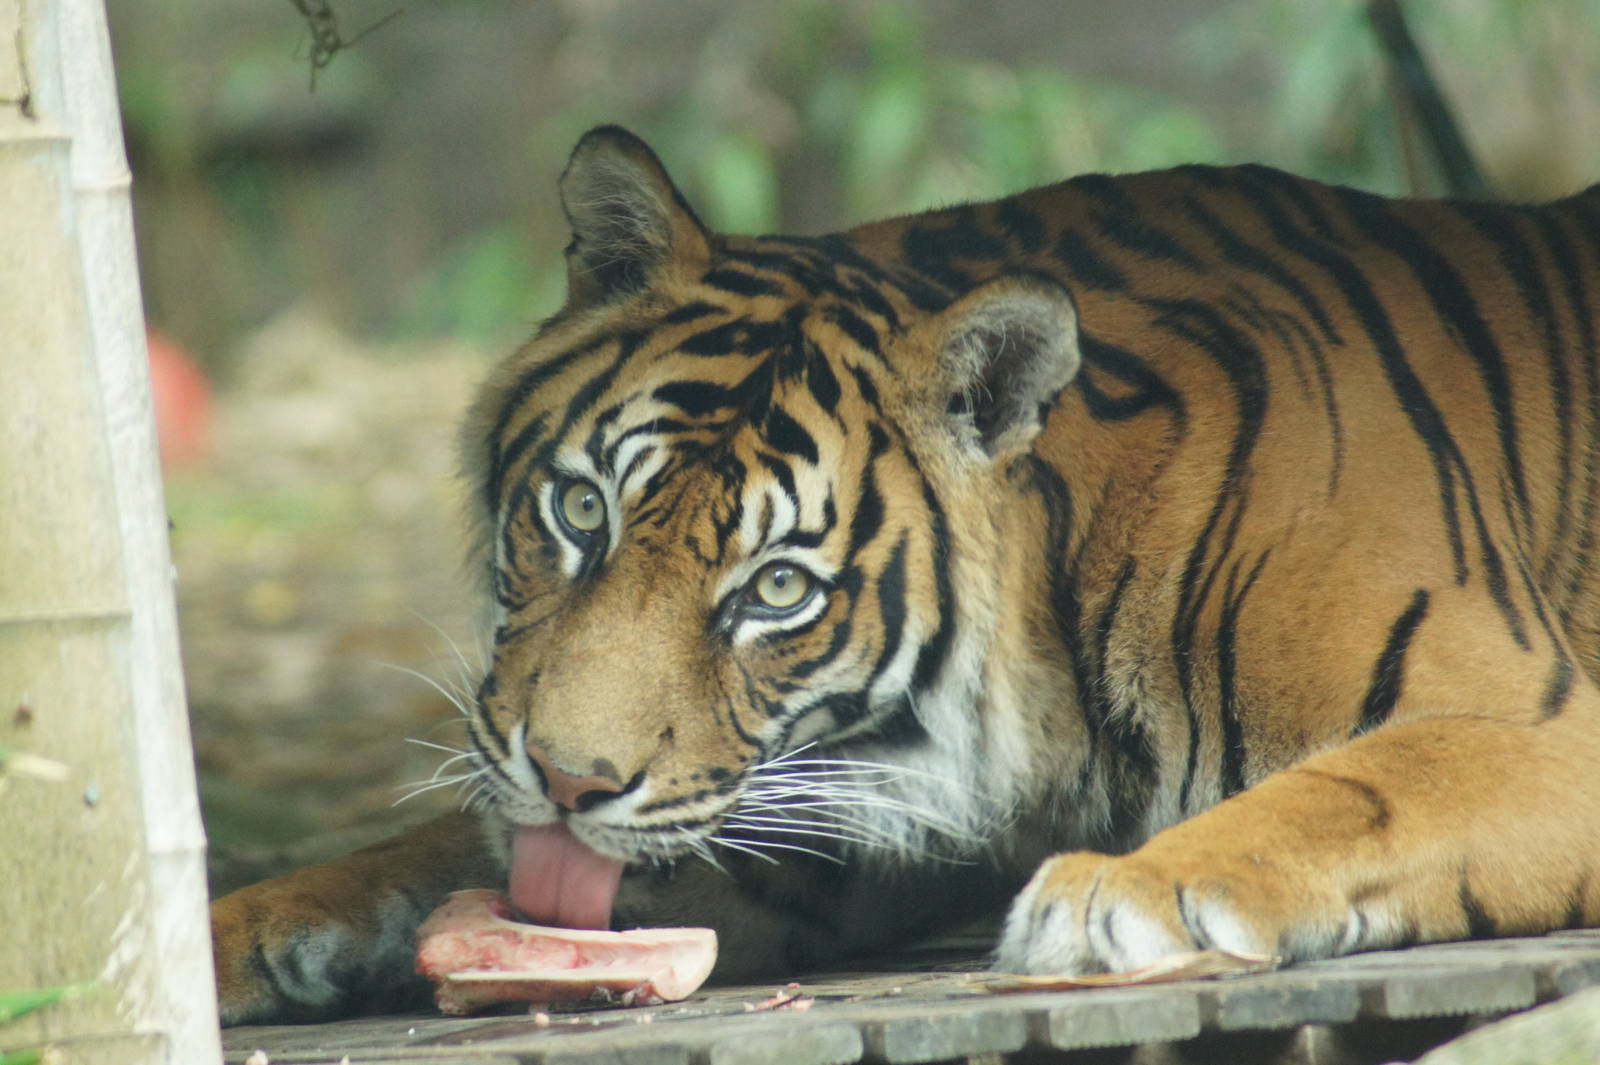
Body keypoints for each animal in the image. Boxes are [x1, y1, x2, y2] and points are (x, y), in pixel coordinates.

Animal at [210, 125, 1600, 1025]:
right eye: (580, 508)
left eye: (777, 589)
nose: (568, 782)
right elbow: (453, 840)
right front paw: (241, 925)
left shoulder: (1536, 723)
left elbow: (1347, 791)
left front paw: (1116, 895)